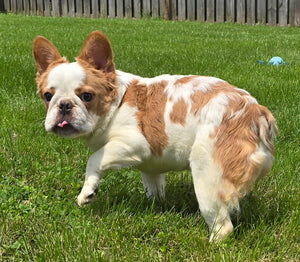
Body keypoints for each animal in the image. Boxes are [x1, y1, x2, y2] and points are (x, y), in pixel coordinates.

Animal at [32, 30, 276, 242]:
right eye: (47, 96)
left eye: (86, 96)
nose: (64, 105)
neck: (116, 103)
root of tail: (256, 113)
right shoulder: (150, 165)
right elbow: (154, 187)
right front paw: (155, 205)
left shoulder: (134, 144)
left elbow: (95, 159)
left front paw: (87, 192)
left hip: (208, 172)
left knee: (223, 225)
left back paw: (211, 244)